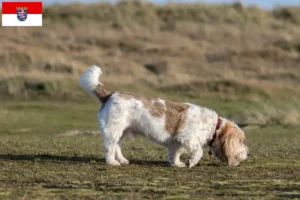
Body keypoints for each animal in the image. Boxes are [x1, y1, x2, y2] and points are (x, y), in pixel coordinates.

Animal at [78, 65, 250, 167]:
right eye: (241, 141)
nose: (249, 153)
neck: (214, 127)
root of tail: (109, 95)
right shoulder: (188, 138)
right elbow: (198, 152)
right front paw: (192, 162)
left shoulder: (177, 142)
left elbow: (175, 153)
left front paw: (177, 164)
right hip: (113, 131)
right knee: (109, 147)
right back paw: (112, 162)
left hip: (122, 132)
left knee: (117, 147)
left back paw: (122, 160)